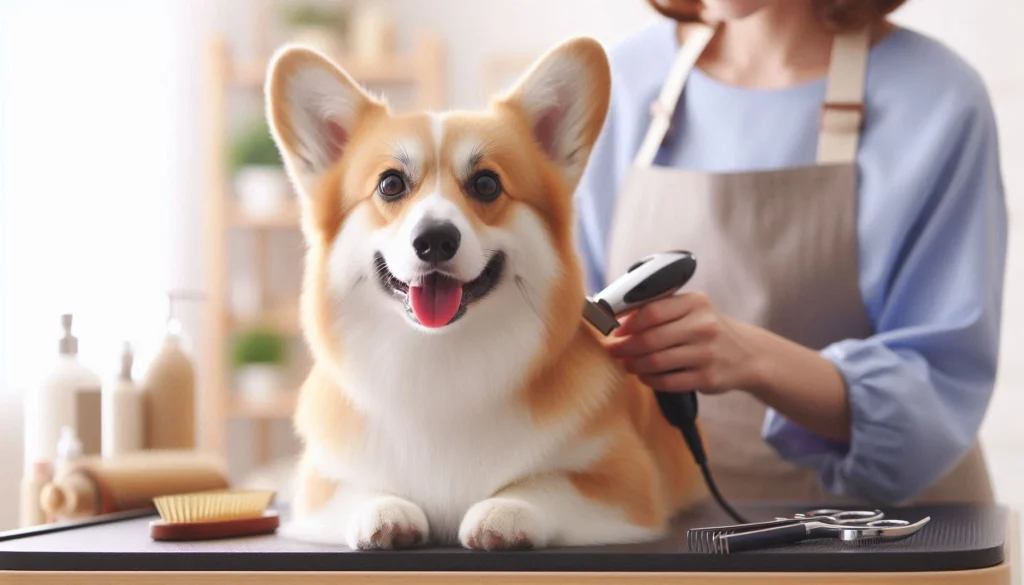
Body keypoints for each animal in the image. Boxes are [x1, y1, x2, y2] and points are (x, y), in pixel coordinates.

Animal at [264, 35, 704, 549]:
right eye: (390, 184)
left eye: (487, 184)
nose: (435, 239)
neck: (440, 358)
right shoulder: (320, 488)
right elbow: (360, 491)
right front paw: (384, 512)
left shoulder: (623, 482)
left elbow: (545, 484)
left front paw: (505, 512)